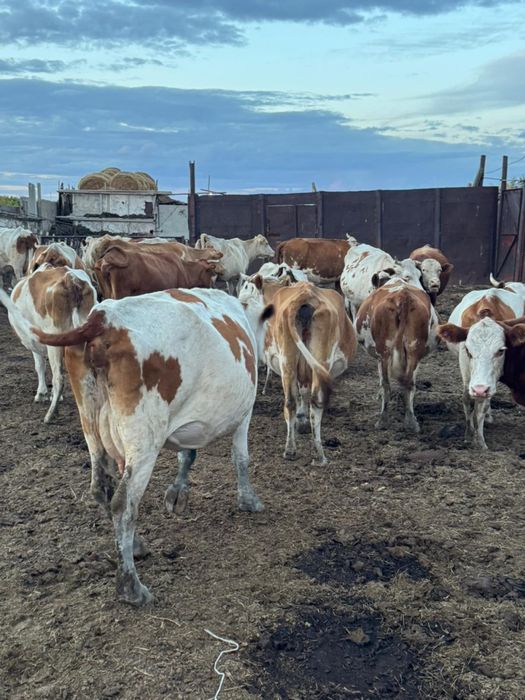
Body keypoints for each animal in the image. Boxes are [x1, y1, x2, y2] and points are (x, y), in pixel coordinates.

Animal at [0, 265, 97, 422]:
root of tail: (70, 279)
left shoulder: (36, 342)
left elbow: (39, 366)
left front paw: (41, 394)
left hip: (54, 340)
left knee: (59, 378)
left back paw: (50, 414)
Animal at [32, 288, 268, 605]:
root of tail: (103, 319)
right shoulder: (245, 412)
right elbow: (240, 458)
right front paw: (249, 500)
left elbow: (187, 454)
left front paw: (178, 493)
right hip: (144, 439)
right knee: (123, 504)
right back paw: (131, 587)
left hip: (91, 424)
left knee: (101, 488)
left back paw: (135, 545)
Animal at [250, 279, 356, 465]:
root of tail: (305, 295)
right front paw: (303, 420)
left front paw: (301, 420)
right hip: (321, 360)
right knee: (315, 401)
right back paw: (319, 454)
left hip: (288, 361)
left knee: (290, 402)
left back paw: (290, 449)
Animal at [356, 275, 438, 432]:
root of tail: (402, 296)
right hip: (414, 349)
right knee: (409, 383)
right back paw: (411, 422)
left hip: (385, 351)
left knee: (386, 384)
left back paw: (383, 420)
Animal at [437, 284, 525, 449]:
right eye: (468, 350)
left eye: (501, 351)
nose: (479, 389)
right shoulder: (465, 366)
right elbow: (467, 399)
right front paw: (468, 434)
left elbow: (482, 405)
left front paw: (480, 440)